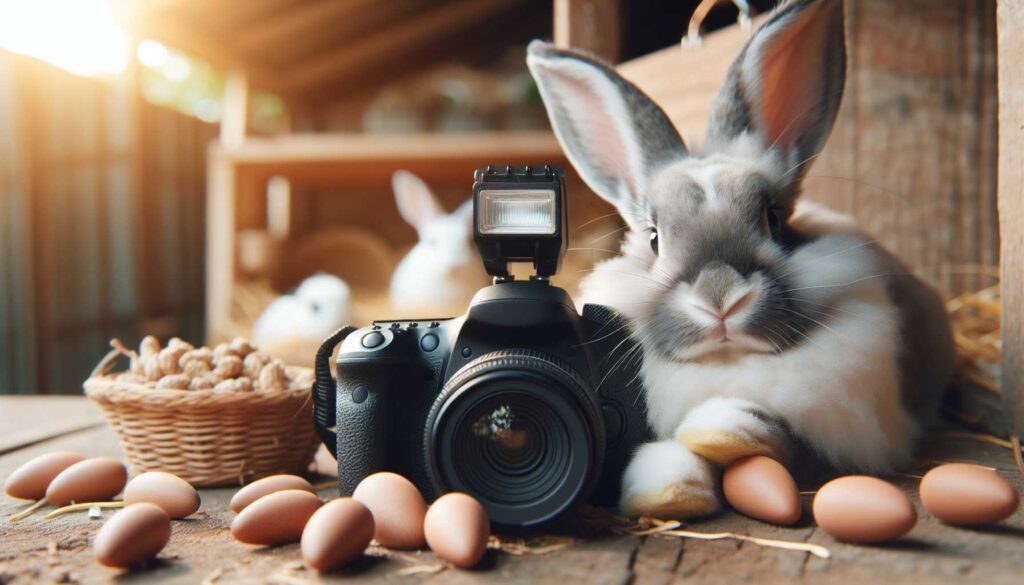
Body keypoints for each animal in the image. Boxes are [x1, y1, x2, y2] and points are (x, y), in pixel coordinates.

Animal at [527, 0, 955, 519]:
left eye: (773, 219)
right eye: (654, 239)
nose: (720, 299)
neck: (727, 364)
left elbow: (778, 437)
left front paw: (721, 432)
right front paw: (667, 490)